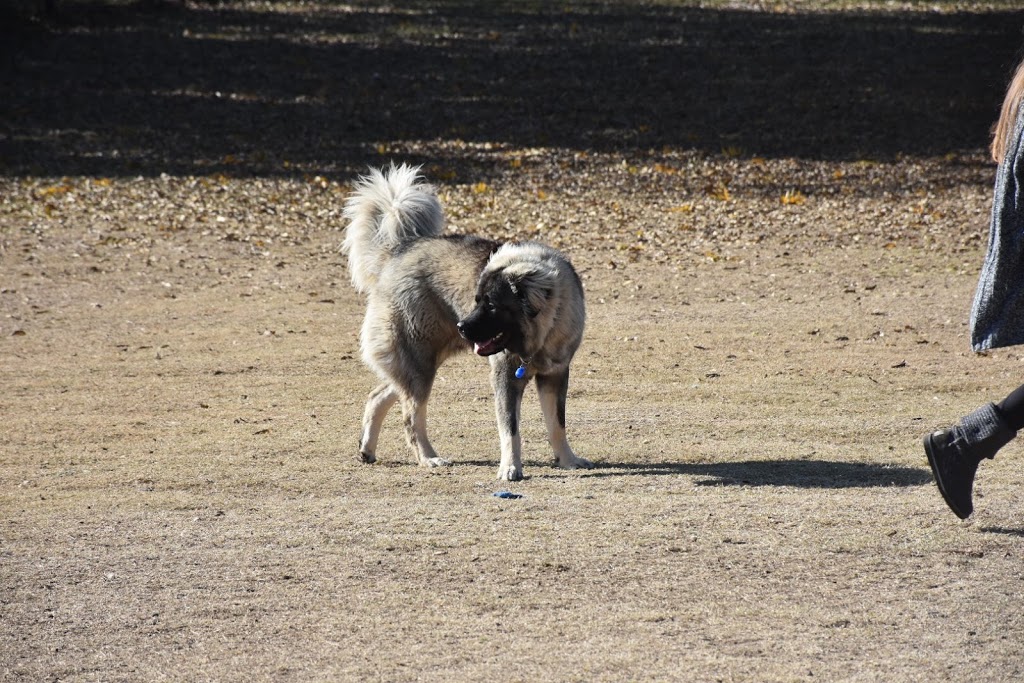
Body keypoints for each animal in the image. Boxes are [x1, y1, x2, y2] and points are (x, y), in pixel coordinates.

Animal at [344, 164, 593, 481]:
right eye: (476, 300)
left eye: (492, 305)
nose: (463, 326)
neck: (542, 333)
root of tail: (400, 248)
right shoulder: (505, 376)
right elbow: (510, 428)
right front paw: (510, 467)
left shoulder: (555, 374)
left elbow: (557, 424)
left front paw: (567, 460)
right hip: (420, 362)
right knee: (411, 416)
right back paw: (428, 458)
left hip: (420, 362)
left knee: (380, 394)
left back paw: (367, 448)